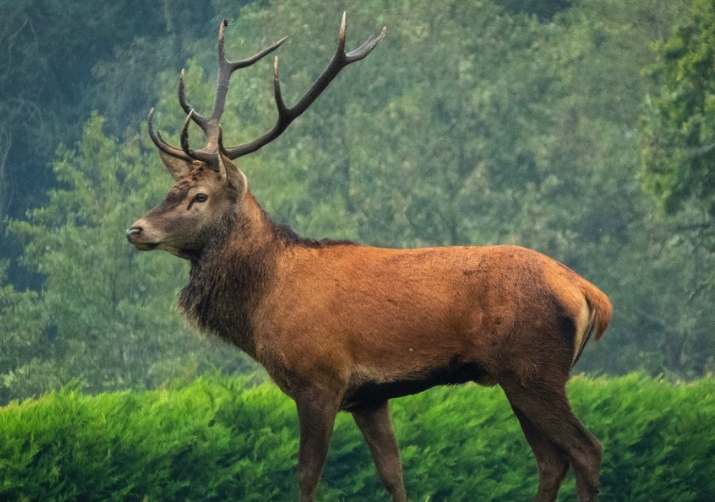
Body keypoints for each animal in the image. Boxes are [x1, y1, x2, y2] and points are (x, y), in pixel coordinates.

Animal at [126, 14, 612, 502]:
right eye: (171, 189)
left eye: (200, 196)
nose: (136, 229)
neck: (263, 302)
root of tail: (589, 293)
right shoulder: (370, 395)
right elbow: (392, 472)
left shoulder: (319, 379)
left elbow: (307, 475)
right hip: (521, 376)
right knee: (550, 459)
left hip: (532, 369)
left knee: (586, 449)